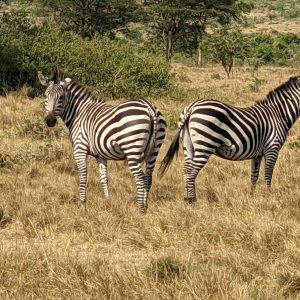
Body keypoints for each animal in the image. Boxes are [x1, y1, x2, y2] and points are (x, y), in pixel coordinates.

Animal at [38, 70, 166, 212]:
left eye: (61, 97)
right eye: (45, 96)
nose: (50, 121)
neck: (78, 113)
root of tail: (149, 107)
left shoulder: (79, 149)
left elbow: (83, 175)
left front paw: (81, 202)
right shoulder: (100, 155)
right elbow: (104, 178)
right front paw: (107, 201)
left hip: (132, 148)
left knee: (141, 178)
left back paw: (140, 209)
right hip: (154, 150)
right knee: (148, 177)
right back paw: (146, 206)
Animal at [159, 76, 300, 203]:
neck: (280, 113)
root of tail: (192, 108)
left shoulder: (258, 153)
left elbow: (254, 175)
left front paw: (252, 195)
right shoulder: (272, 148)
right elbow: (268, 174)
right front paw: (268, 196)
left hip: (188, 145)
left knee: (186, 169)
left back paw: (187, 198)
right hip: (205, 144)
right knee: (192, 171)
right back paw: (191, 200)